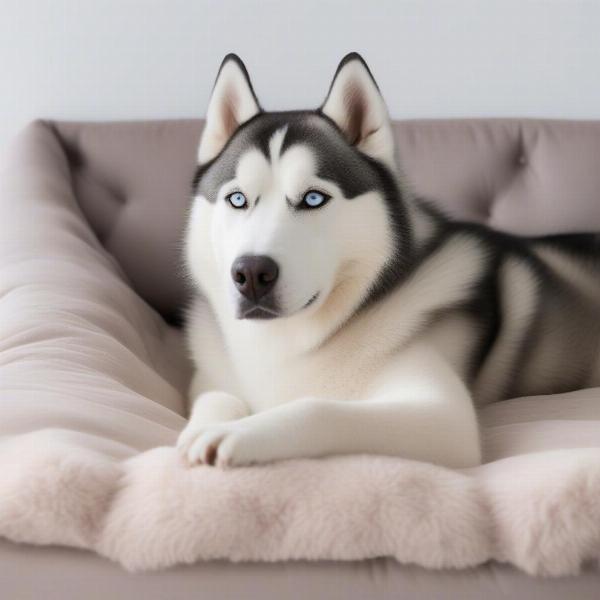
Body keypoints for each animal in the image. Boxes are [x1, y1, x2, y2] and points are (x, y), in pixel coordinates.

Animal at [177, 52, 600, 468]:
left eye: (313, 198)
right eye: (237, 199)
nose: (251, 273)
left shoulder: (443, 417)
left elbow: (320, 409)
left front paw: (238, 434)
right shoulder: (207, 378)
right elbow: (216, 396)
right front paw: (204, 427)